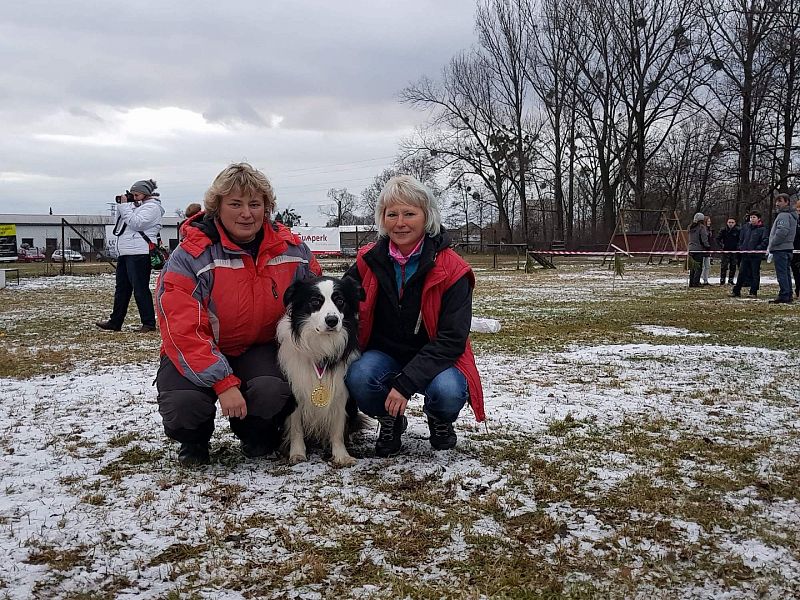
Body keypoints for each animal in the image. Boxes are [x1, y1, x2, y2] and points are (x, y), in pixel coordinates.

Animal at [276, 276, 362, 468]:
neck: (322, 345)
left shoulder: (340, 391)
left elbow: (337, 429)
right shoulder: (296, 389)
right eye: (315, 301)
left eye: (340, 301)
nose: (332, 320)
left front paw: (341, 456)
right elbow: (296, 428)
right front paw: (297, 454)